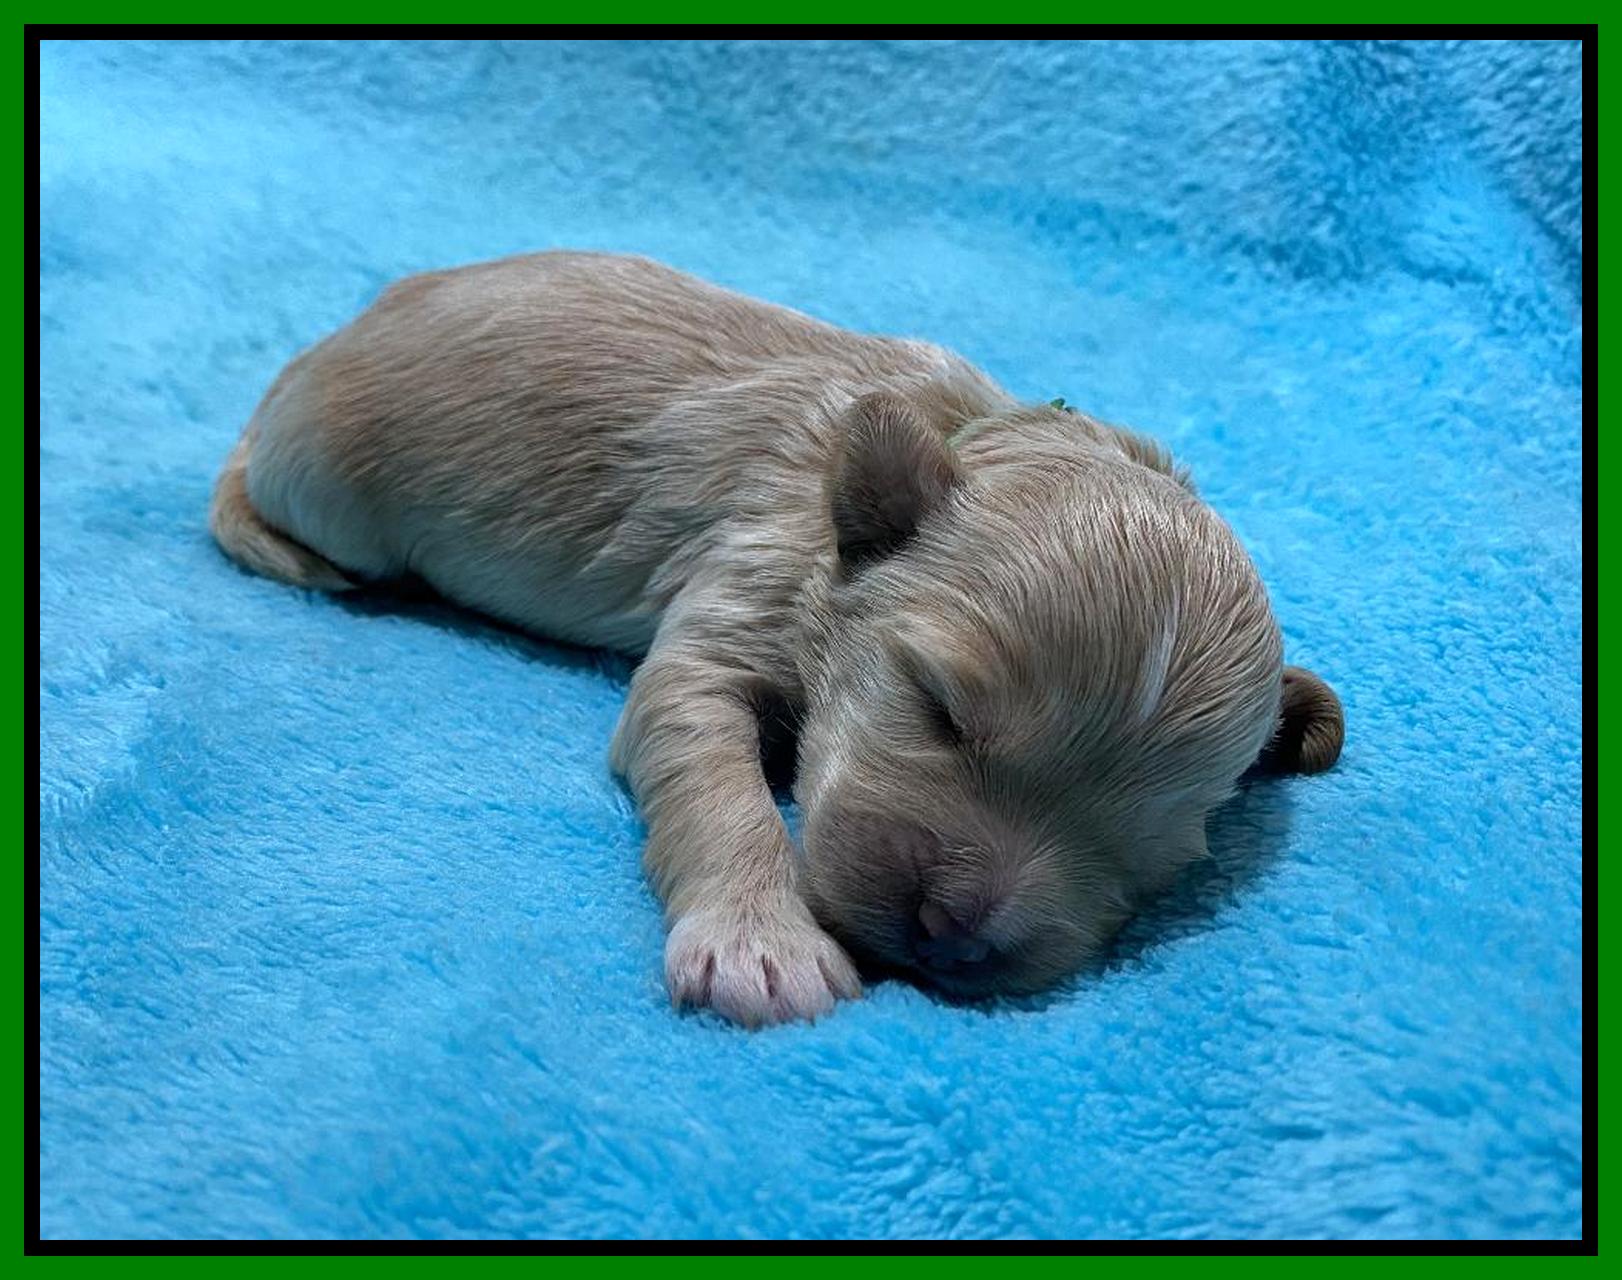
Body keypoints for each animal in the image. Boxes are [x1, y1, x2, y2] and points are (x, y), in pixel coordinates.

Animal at [211, 251, 1343, 1027]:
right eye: (939, 709)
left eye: (1156, 853)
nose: (950, 934)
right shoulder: (730, 608)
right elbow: (720, 787)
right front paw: (762, 944)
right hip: (332, 490)